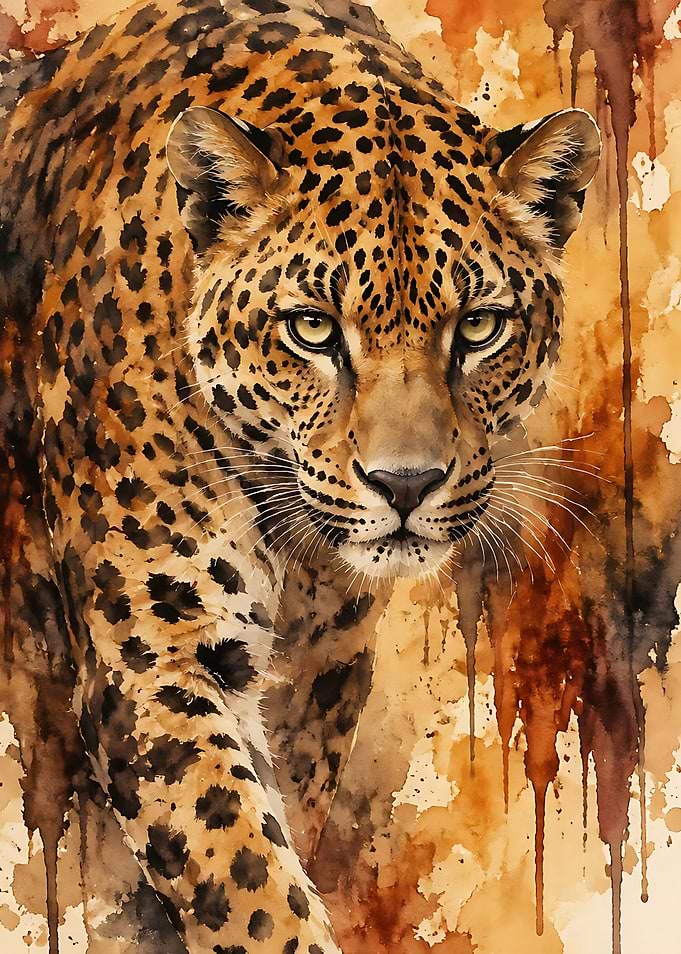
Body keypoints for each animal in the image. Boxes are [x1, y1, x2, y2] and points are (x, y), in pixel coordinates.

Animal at [0, 0, 600, 950]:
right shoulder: (159, 657)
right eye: (313, 328)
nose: (406, 485)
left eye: (478, 327)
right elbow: (246, 877)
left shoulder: (322, 675)